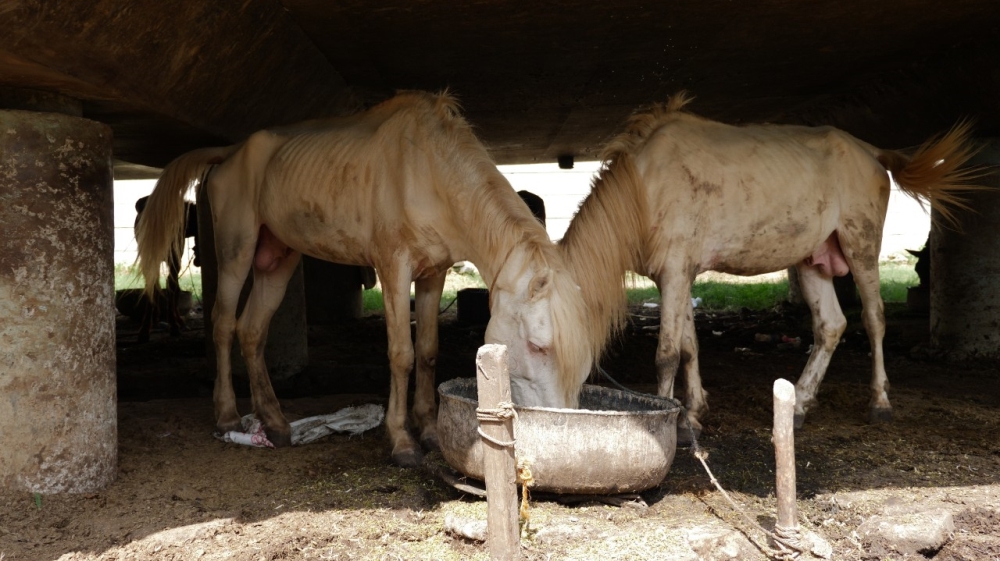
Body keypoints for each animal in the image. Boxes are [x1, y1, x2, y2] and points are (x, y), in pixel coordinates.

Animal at [136, 91, 593, 466]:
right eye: (538, 346)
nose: (560, 424)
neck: (428, 168)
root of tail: (230, 153)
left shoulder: (433, 273)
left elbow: (428, 351)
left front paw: (428, 430)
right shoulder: (394, 268)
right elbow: (402, 354)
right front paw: (402, 441)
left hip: (277, 260)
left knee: (251, 330)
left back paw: (276, 423)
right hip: (237, 251)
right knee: (223, 325)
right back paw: (228, 415)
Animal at [558, 92, 982, 435]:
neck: (646, 187)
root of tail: (870, 150)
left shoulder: (675, 272)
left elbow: (667, 354)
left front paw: (674, 420)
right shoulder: (677, 277)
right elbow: (690, 345)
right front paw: (694, 411)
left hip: (861, 244)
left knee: (874, 318)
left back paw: (879, 401)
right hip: (813, 260)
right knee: (830, 325)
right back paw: (800, 405)